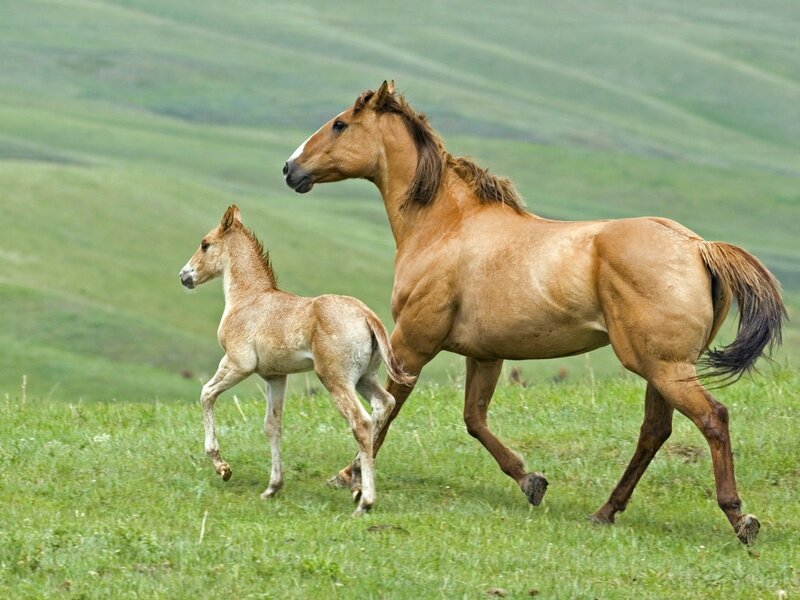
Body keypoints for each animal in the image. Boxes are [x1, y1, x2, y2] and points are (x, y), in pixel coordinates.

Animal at [179, 205, 413, 515]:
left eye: (205, 244)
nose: (185, 276)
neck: (249, 299)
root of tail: (367, 315)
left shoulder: (238, 364)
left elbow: (206, 394)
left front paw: (222, 467)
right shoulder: (275, 376)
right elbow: (272, 426)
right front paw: (272, 488)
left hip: (335, 380)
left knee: (361, 422)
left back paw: (364, 501)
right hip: (365, 378)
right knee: (384, 404)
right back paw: (355, 482)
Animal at [282, 81, 787, 543]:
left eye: (340, 124)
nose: (290, 169)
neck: (444, 227)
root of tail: (698, 247)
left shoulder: (412, 342)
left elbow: (387, 408)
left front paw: (348, 477)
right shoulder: (485, 354)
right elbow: (474, 420)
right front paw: (531, 481)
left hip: (663, 367)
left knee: (712, 418)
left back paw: (739, 518)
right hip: (660, 367)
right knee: (654, 431)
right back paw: (606, 511)